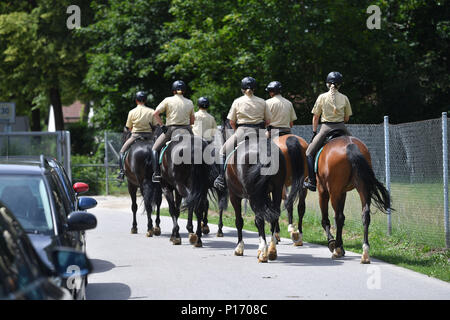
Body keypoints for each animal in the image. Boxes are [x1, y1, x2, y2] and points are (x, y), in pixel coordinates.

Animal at [220, 120, 286, 262]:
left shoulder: (234, 196)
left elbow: (239, 221)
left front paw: (239, 248)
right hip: (276, 191)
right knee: (274, 217)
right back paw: (272, 250)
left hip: (252, 195)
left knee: (259, 219)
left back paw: (263, 253)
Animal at [306, 134, 390, 262]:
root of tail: (350, 145)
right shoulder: (343, 193)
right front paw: (339, 246)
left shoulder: (323, 191)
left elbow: (326, 219)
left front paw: (333, 243)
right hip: (362, 187)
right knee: (365, 214)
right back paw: (365, 252)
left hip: (334, 192)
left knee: (338, 217)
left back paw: (337, 250)